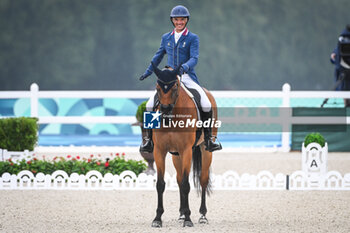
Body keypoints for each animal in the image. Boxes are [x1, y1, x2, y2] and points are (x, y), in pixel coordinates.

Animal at [150, 62, 219, 227]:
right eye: (157, 87)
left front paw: (188, 219)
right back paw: (181, 214)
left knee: (203, 180)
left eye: (175, 87)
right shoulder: (159, 151)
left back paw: (202, 215)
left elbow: (187, 184)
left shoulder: (186, 150)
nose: (165, 111)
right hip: (176, 155)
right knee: (179, 179)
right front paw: (157, 219)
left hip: (205, 150)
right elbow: (161, 184)